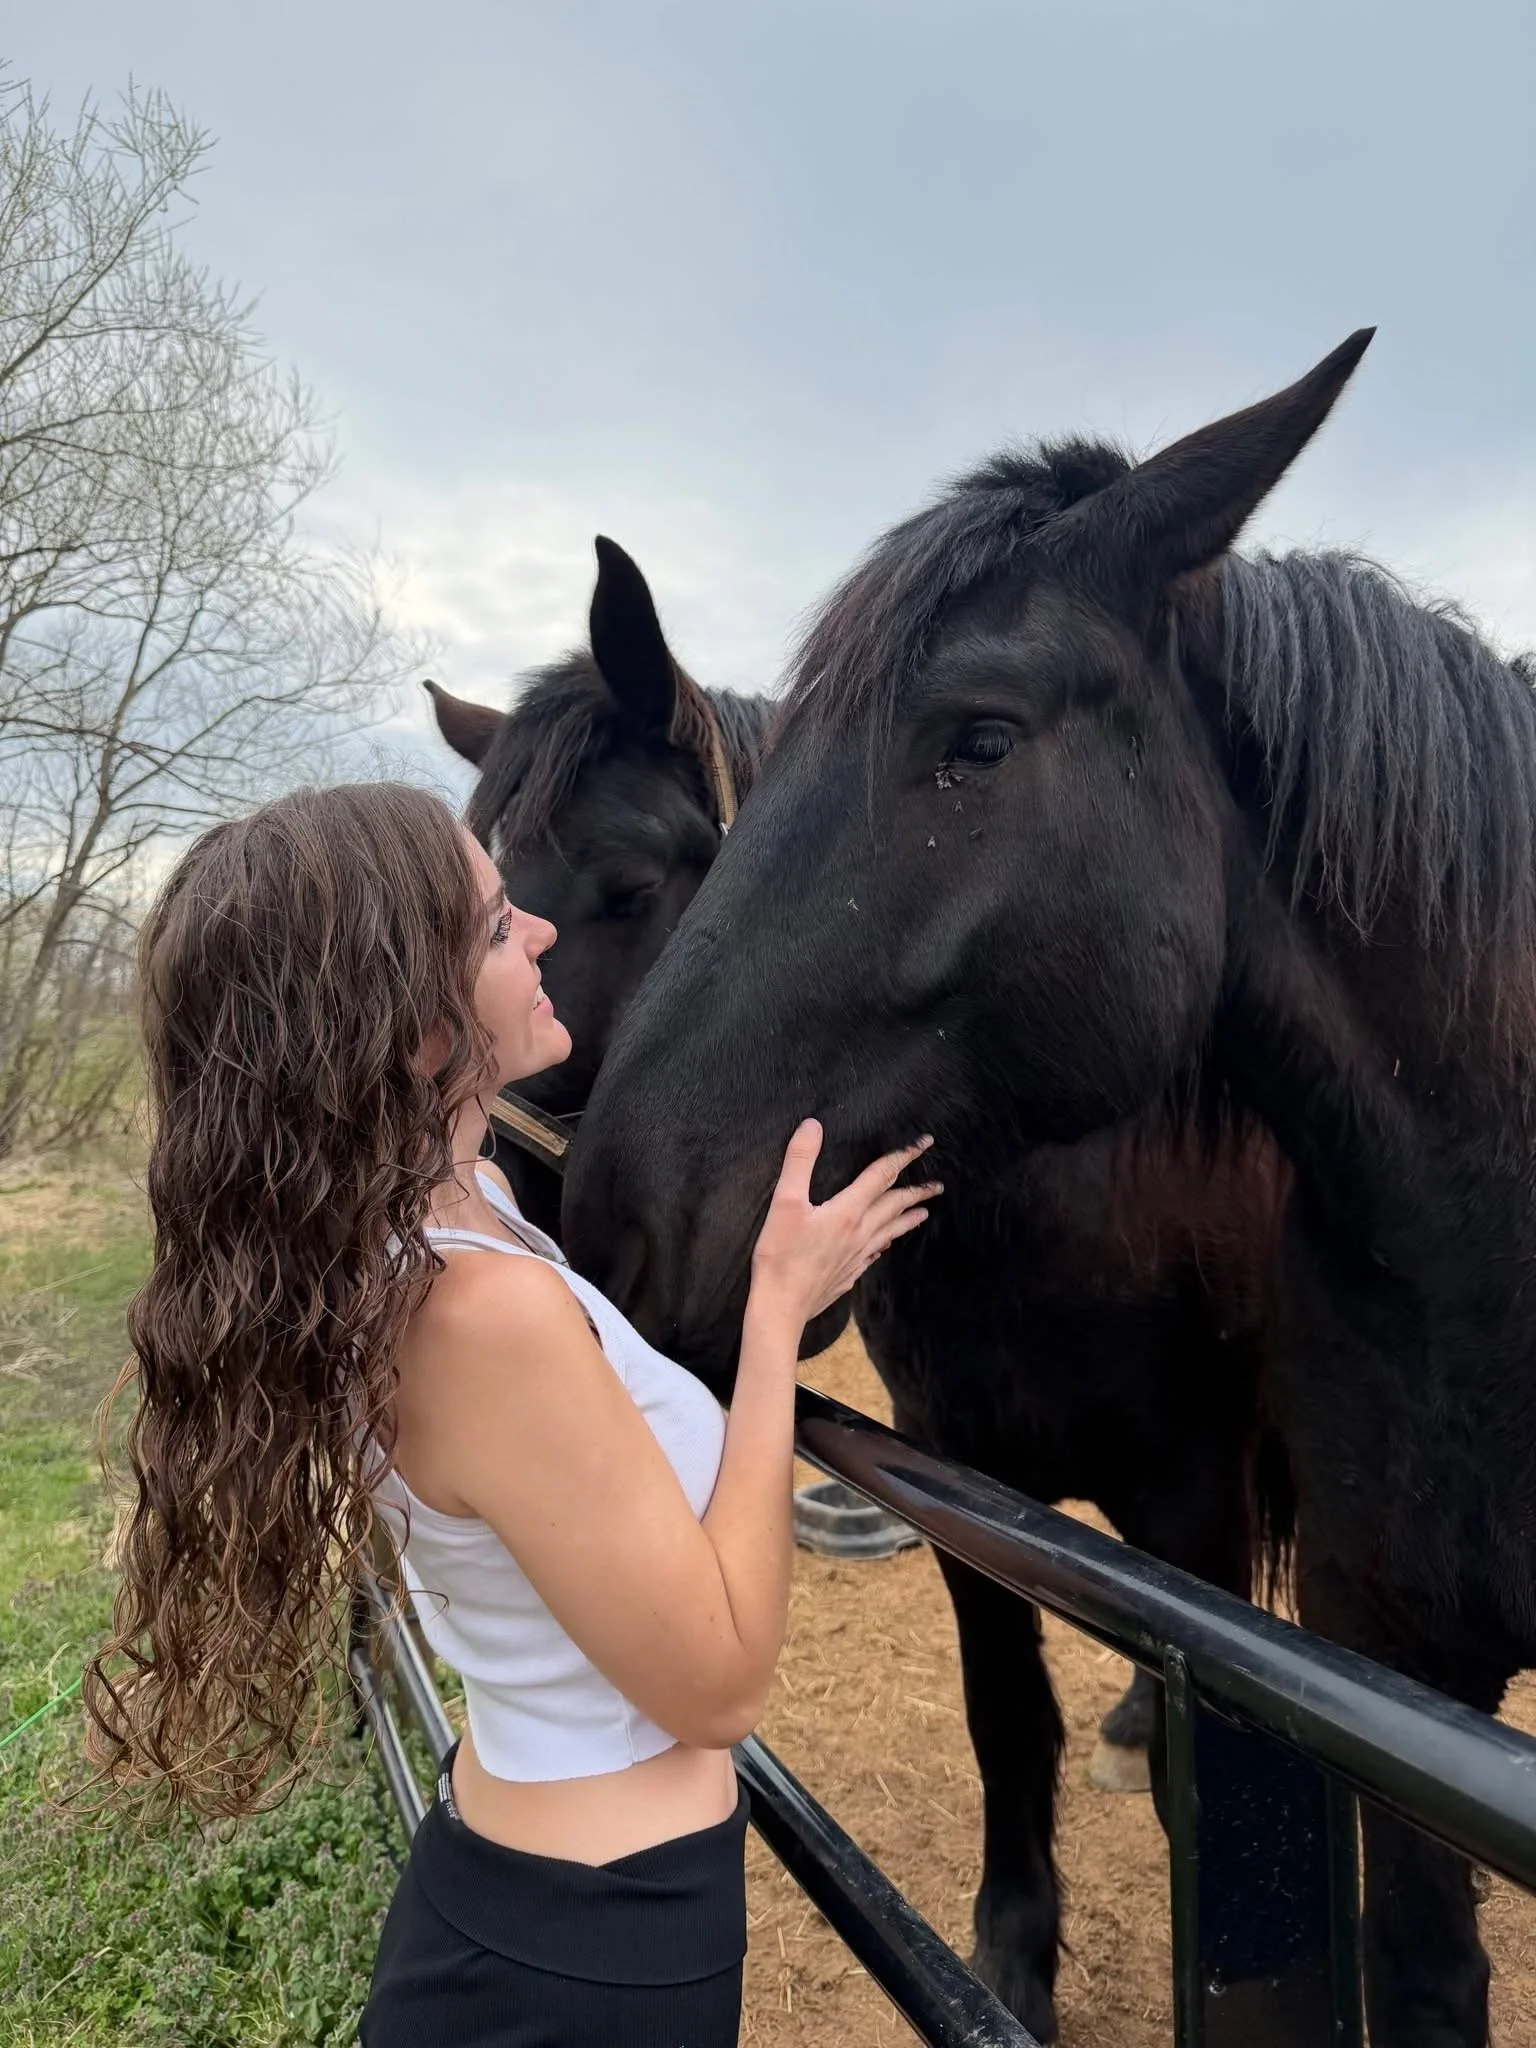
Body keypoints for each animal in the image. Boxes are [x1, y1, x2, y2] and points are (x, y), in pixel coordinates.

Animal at [443, 554, 1289, 2036]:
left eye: (628, 883)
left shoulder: (1200, 1491)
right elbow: (1007, 1713)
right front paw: (1015, 1956)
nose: (568, 1212)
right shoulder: (964, 1489)